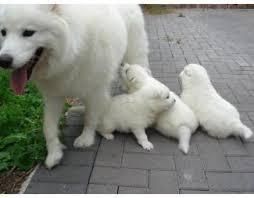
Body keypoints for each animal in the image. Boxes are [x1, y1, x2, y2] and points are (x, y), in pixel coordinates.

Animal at [0, 4, 150, 168]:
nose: (3, 60)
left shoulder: (95, 90)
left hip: (134, 54)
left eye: (28, 33)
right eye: (3, 32)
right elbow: (48, 127)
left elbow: (90, 117)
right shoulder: (54, 95)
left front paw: (86, 139)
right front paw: (54, 154)